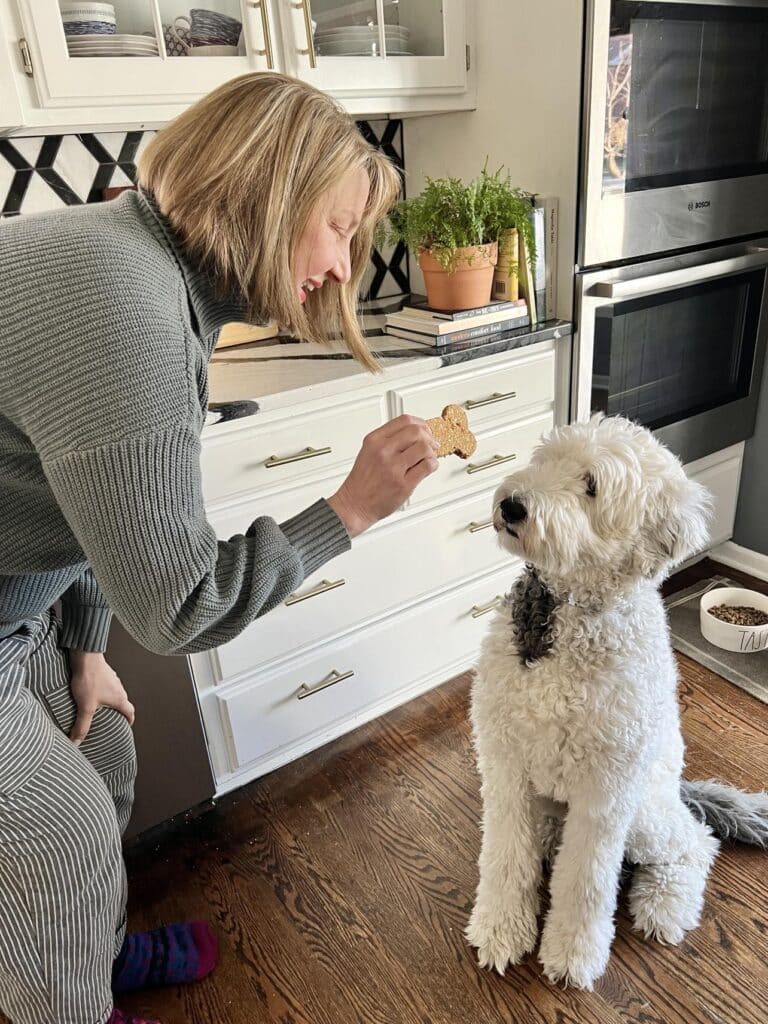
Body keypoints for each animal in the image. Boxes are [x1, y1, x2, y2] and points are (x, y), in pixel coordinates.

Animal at [466, 415, 765, 991]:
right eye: (546, 459)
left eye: (592, 486)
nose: (512, 505)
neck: (568, 613)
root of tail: (679, 790)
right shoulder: (505, 764)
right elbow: (505, 857)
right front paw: (500, 929)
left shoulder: (604, 791)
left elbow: (585, 879)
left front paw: (571, 954)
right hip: (552, 804)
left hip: (644, 811)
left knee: (695, 842)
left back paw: (665, 905)